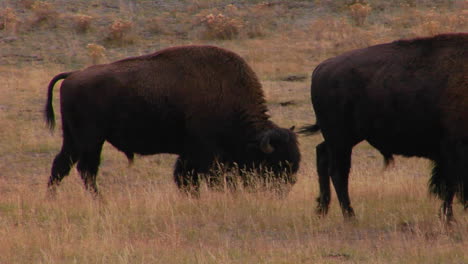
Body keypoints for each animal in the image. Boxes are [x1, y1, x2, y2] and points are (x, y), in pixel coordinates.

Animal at [44, 44, 300, 194]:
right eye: (273, 162)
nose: (284, 188)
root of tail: (73, 75)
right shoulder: (206, 153)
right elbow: (203, 178)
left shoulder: (190, 153)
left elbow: (185, 177)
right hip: (90, 139)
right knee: (82, 169)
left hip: (75, 138)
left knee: (66, 165)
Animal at [302, 33, 468, 223]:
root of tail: (321, 68)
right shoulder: (453, 150)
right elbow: (449, 185)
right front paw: (449, 219)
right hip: (340, 139)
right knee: (338, 172)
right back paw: (350, 216)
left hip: (345, 137)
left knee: (323, 155)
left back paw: (322, 210)